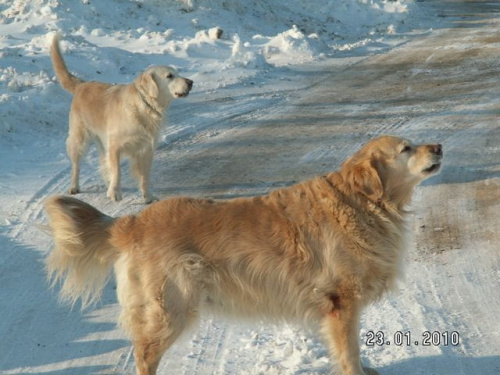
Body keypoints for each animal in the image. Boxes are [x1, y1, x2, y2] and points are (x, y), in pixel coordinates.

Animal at [43, 136, 442, 375]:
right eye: (406, 149)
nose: (438, 146)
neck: (362, 203)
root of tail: (133, 221)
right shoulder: (341, 302)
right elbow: (349, 351)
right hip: (170, 308)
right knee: (144, 355)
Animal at [49, 36, 193, 203]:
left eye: (177, 73)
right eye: (170, 76)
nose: (191, 82)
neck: (144, 105)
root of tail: (82, 84)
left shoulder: (146, 149)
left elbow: (144, 176)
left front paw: (147, 196)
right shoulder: (115, 146)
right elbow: (117, 170)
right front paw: (115, 192)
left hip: (101, 140)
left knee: (103, 161)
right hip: (79, 138)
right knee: (76, 165)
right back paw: (74, 186)